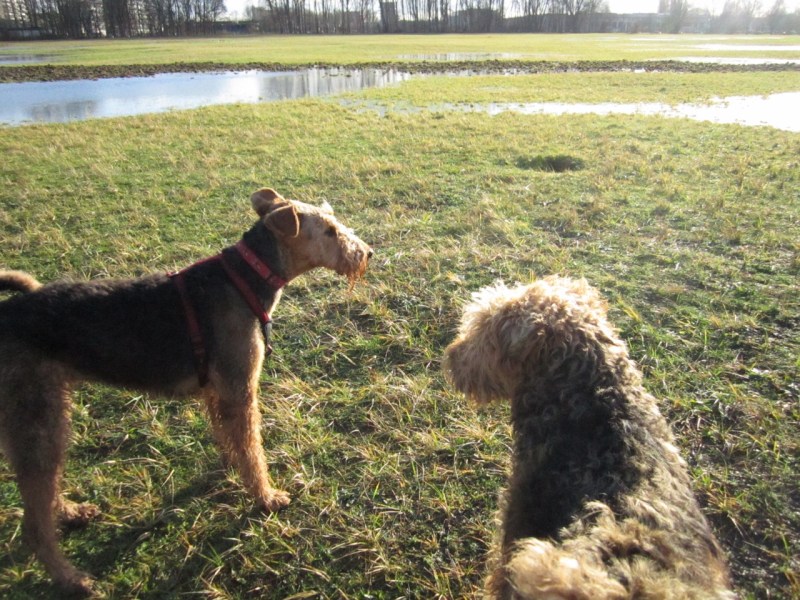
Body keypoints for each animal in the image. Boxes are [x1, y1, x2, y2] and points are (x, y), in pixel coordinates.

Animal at [0, 187, 372, 595]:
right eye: (329, 231)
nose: (367, 253)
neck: (245, 279)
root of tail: (6, 314)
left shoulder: (218, 390)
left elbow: (231, 440)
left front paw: (231, 469)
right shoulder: (240, 387)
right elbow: (252, 449)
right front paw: (266, 497)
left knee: (45, 495)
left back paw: (73, 513)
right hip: (36, 417)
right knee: (34, 525)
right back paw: (73, 579)